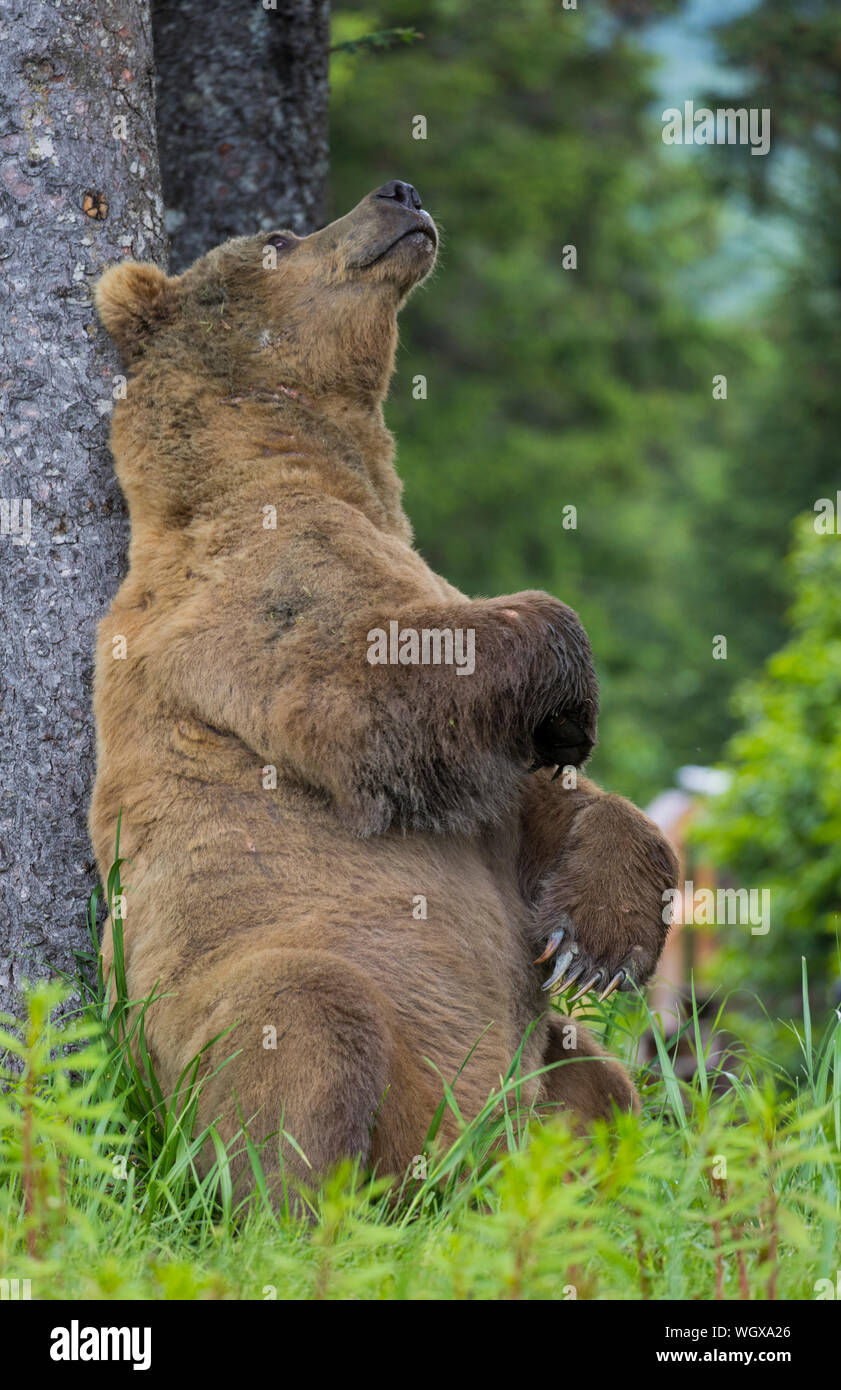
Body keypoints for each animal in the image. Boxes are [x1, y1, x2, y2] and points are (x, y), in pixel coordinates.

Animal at [91, 179, 678, 1200]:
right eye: (277, 235)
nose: (398, 191)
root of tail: (447, 1163)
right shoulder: (252, 598)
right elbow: (371, 690)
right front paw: (572, 679)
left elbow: (537, 806)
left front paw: (595, 943)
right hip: (200, 1027)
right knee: (303, 1026)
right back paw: (302, 1207)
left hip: (530, 1072)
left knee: (599, 1086)